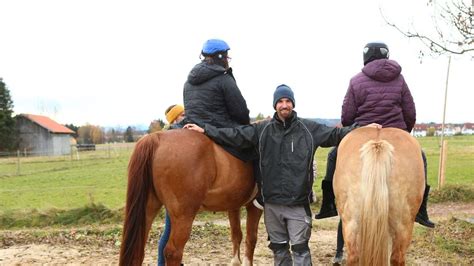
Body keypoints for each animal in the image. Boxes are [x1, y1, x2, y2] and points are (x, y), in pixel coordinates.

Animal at [118, 129, 262, 266]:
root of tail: (156, 137)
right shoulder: (254, 207)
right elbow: (251, 238)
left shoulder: (233, 206)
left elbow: (236, 235)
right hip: (183, 217)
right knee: (172, 252)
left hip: (148, 210)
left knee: (138, 250)